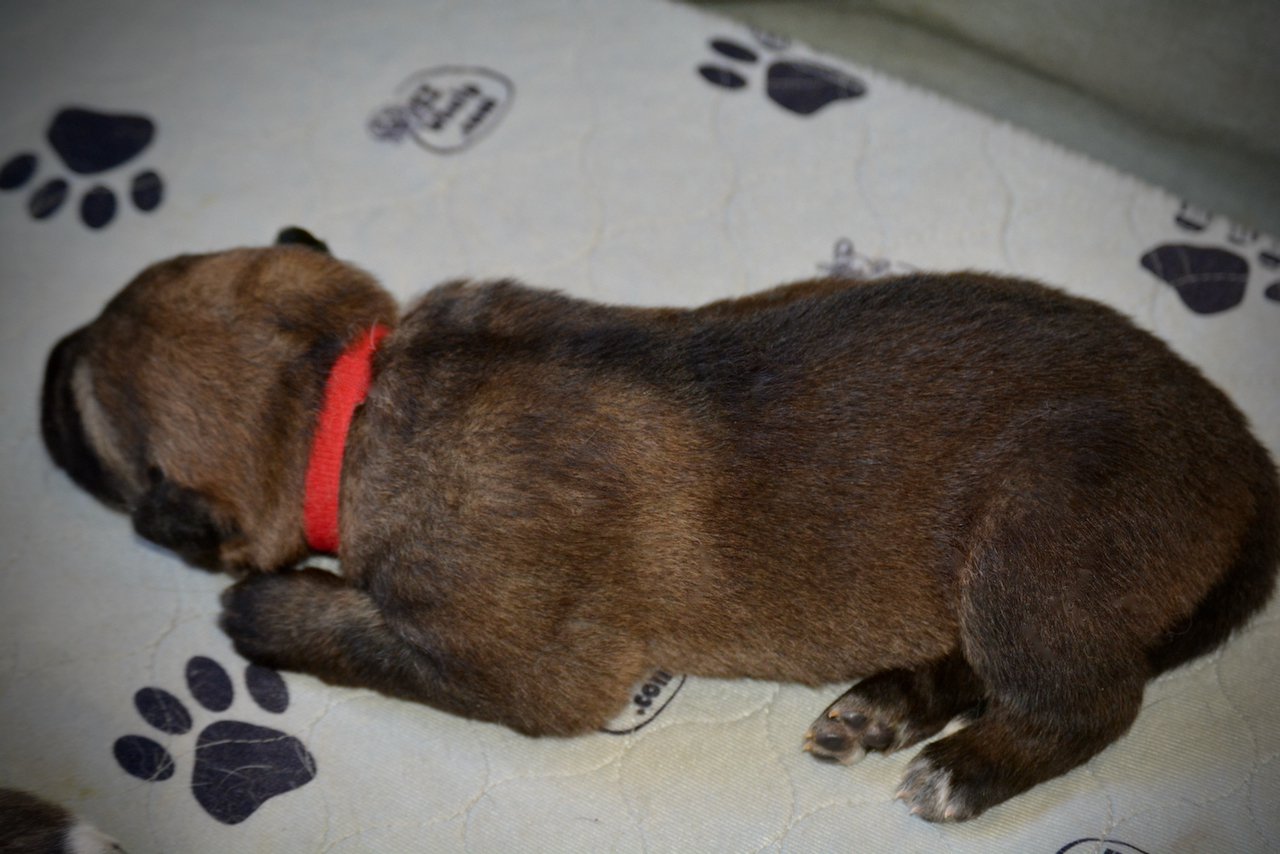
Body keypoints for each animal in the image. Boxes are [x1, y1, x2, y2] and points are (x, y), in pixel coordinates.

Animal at [37, 226, 1269, 819]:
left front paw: (261, 608)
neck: (352, 389)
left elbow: (354, 631)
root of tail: (1245, 459)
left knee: (1090, 700)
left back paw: (964, 769)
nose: (44, 356)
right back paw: (883, 705)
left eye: (84, 417)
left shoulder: (519, 666)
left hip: (1031, 547)